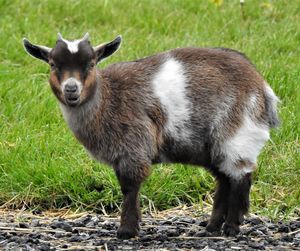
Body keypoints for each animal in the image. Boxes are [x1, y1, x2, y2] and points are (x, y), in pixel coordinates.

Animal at [22, 32, 278, 239]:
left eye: (91, 64)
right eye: (53, 64)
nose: (71, 89)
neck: (108, 98)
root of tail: (262, 86)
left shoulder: (134, 146)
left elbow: (129, 188)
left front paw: (126, 231)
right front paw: (132, 227)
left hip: (237, 134)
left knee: (241, 177)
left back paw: (232, 228)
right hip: (212, 147)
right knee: (224, 179)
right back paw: (212, 227)